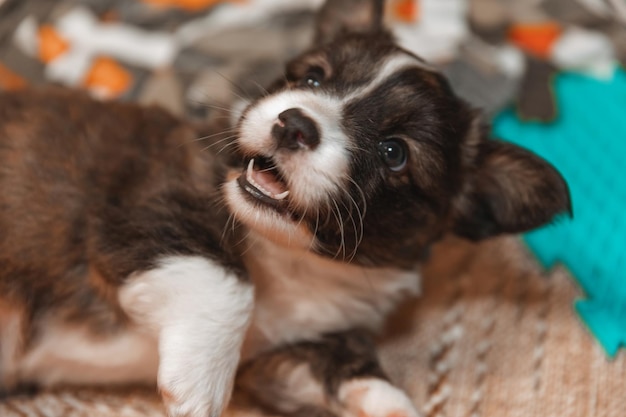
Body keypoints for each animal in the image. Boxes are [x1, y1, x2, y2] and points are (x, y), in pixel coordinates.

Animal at [0, 0, 572, 416]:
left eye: (394, 153)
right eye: (313, 79)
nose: (294, 124)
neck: (294, 256)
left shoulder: (283, 356)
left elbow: (357, 370)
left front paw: (393, 406)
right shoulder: (140, 209)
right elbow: (229, 280)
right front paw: (200, 387)